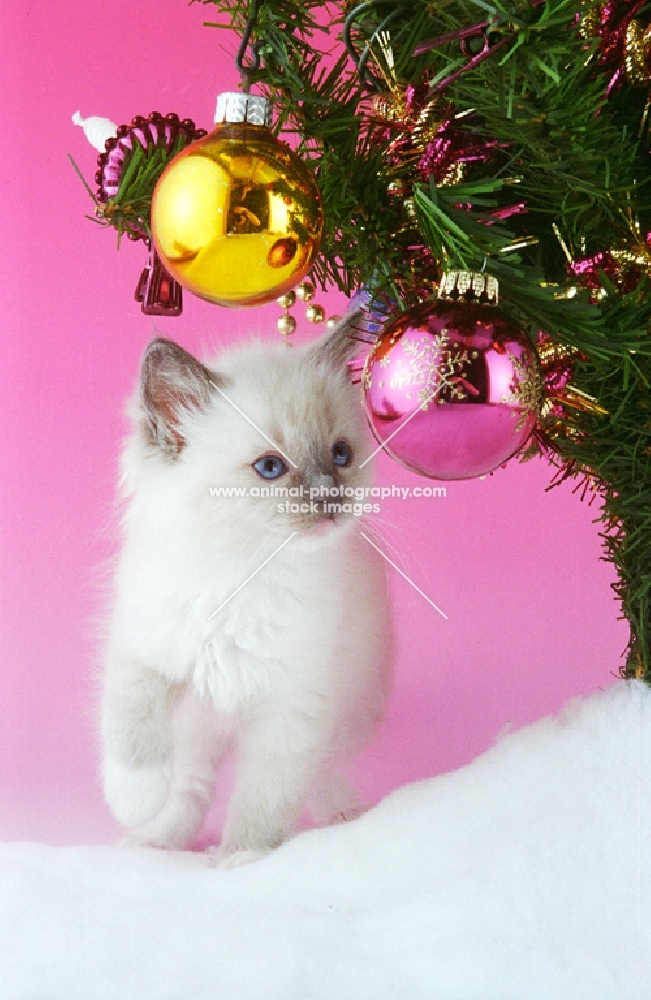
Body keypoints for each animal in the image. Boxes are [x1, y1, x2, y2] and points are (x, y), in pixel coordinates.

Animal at [99, 316, 390, 864]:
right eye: (270, 468)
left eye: (341, 454)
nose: (330, 500)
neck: (248, 570)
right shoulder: (142, 651)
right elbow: (131, 729)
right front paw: (134, 800)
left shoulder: (292, 708)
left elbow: (264, 799)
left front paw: (243, 861)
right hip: (196, 726)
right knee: (191, 786)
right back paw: (157, 839)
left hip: (350, 705)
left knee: (324, 768)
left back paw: (342, 814)